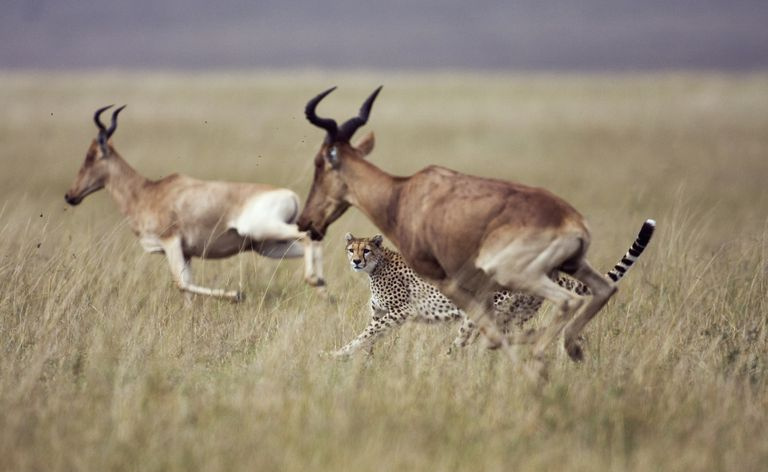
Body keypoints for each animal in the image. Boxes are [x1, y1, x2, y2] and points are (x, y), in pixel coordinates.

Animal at [329, 219, 655, 358]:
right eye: (351, 249)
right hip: (512, 315)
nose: (356, 261)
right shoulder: (380, 314)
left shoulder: (399, 312)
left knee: (470, 343)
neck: (376, 267)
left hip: (482, 313)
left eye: (366, 250)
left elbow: (365, 335)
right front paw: (361, 360)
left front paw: (337, 354)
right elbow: (369, 336)